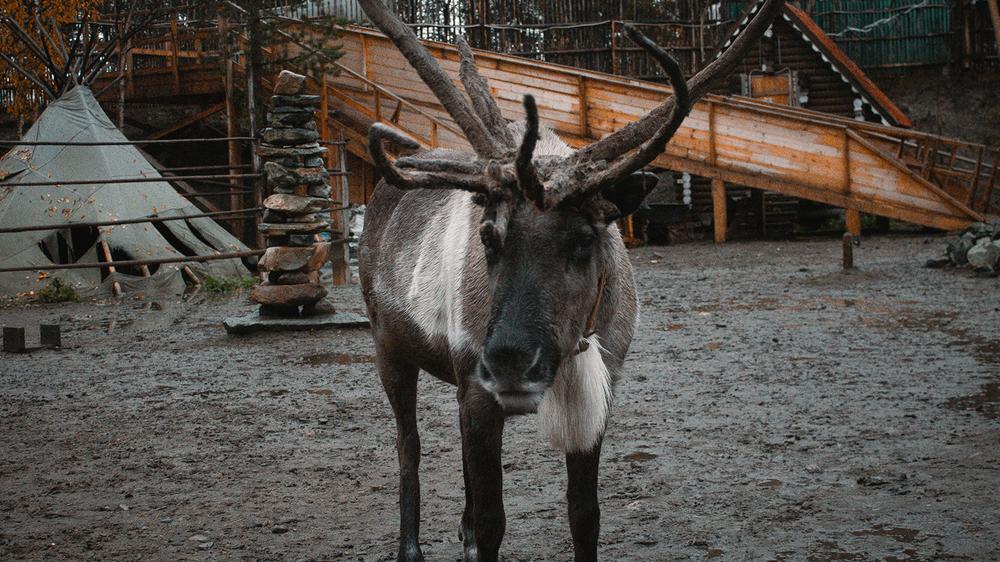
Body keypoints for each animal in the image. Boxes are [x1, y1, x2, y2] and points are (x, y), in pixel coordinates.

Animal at [355, 0, 784, 560]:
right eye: (488, 236)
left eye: (584, 239)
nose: (511, 362)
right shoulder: (478, 385)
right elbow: (493, 521)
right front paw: (476, 532)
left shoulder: (600, 391)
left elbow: (584, 515)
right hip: (389, 347)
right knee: (409, 444)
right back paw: (411, 547)